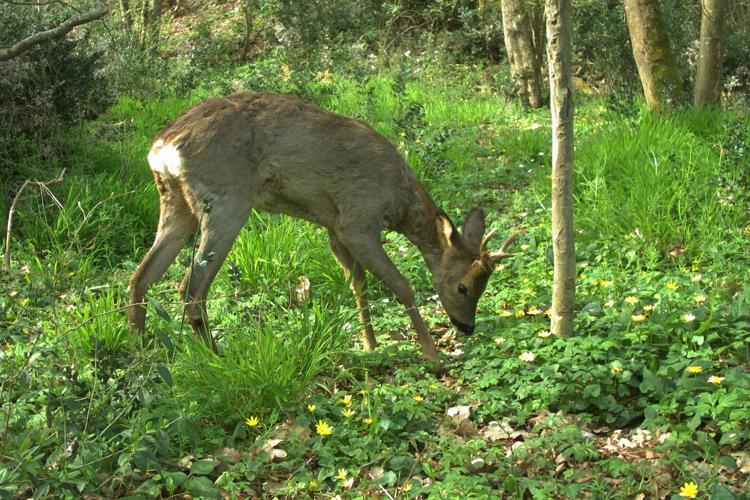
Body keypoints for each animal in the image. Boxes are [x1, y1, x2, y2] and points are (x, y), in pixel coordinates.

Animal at [128, 93, 516, 364]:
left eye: (484, 285)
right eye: (464, 286)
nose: (467, 327)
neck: (398, 201)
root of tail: (162, 148)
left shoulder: (333, 227)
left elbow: (358, 283)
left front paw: (370, 345)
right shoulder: (358, 218)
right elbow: (400, 285)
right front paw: (432, 356)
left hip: (176, 204)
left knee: (141, 276)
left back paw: (142, 350)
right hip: (227, 201)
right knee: (190, 287)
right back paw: (216, 357)